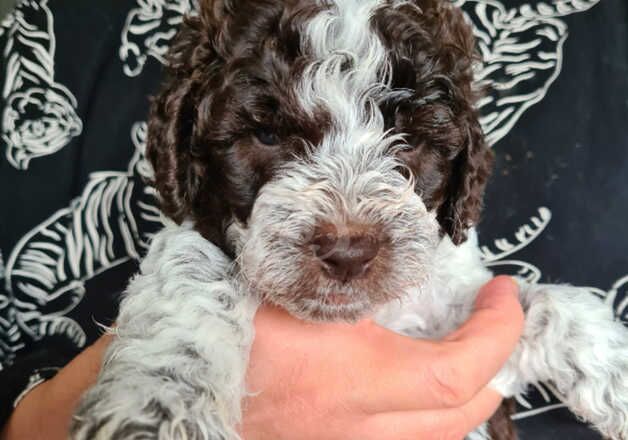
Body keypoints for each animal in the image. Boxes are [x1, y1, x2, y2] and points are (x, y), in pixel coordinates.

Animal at [70, 0, 628, 440]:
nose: (348, 251)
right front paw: (160, 403)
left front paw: (618, 376)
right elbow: (190, 276)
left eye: (411, 141)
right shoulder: (198, 231)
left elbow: (547, 304)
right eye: (267, 136)